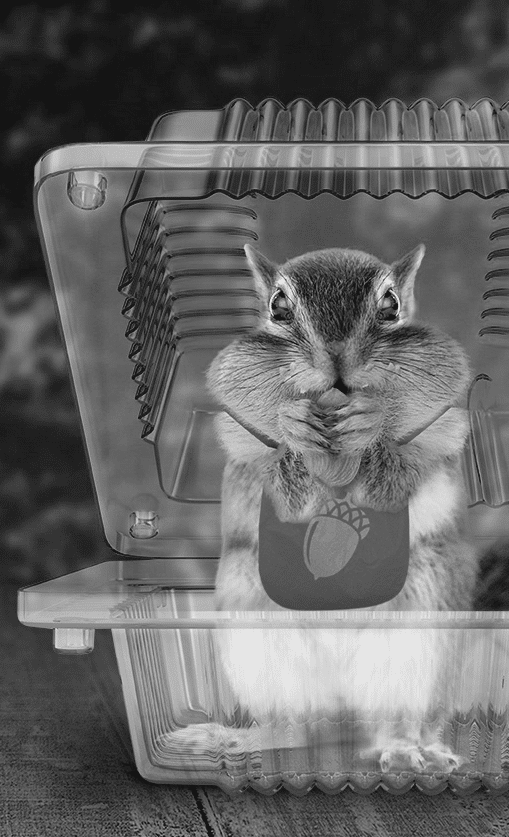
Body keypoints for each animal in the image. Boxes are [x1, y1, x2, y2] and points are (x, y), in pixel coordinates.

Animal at [167, 243, 481, 774]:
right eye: (278, 307)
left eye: (391, 305)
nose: (335, 359)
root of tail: (345, 715)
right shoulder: (244, 453)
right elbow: (278, 485)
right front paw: (292, 423)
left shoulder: (437, 443)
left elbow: (397, 476)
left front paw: (372, 421)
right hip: (259, 642)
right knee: (300, 728)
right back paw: (232, 739)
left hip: (419, 642)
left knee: (399, 721)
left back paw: (411, 749)